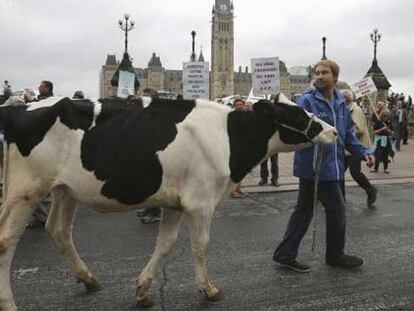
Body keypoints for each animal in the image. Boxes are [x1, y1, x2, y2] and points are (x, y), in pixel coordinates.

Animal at [0, 94, 336, 310]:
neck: (227, 137)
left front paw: (143, 290)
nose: (333, 130)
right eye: (296, 114)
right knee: (6, 241)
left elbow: (165, 244)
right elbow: (200, 246)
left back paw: (89, 279)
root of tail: (21, 108)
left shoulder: (175, 202)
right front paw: (208, 289)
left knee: (58, 229)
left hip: (64, 189)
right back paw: (9, 303)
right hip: (25, 189)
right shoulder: (200, 202)